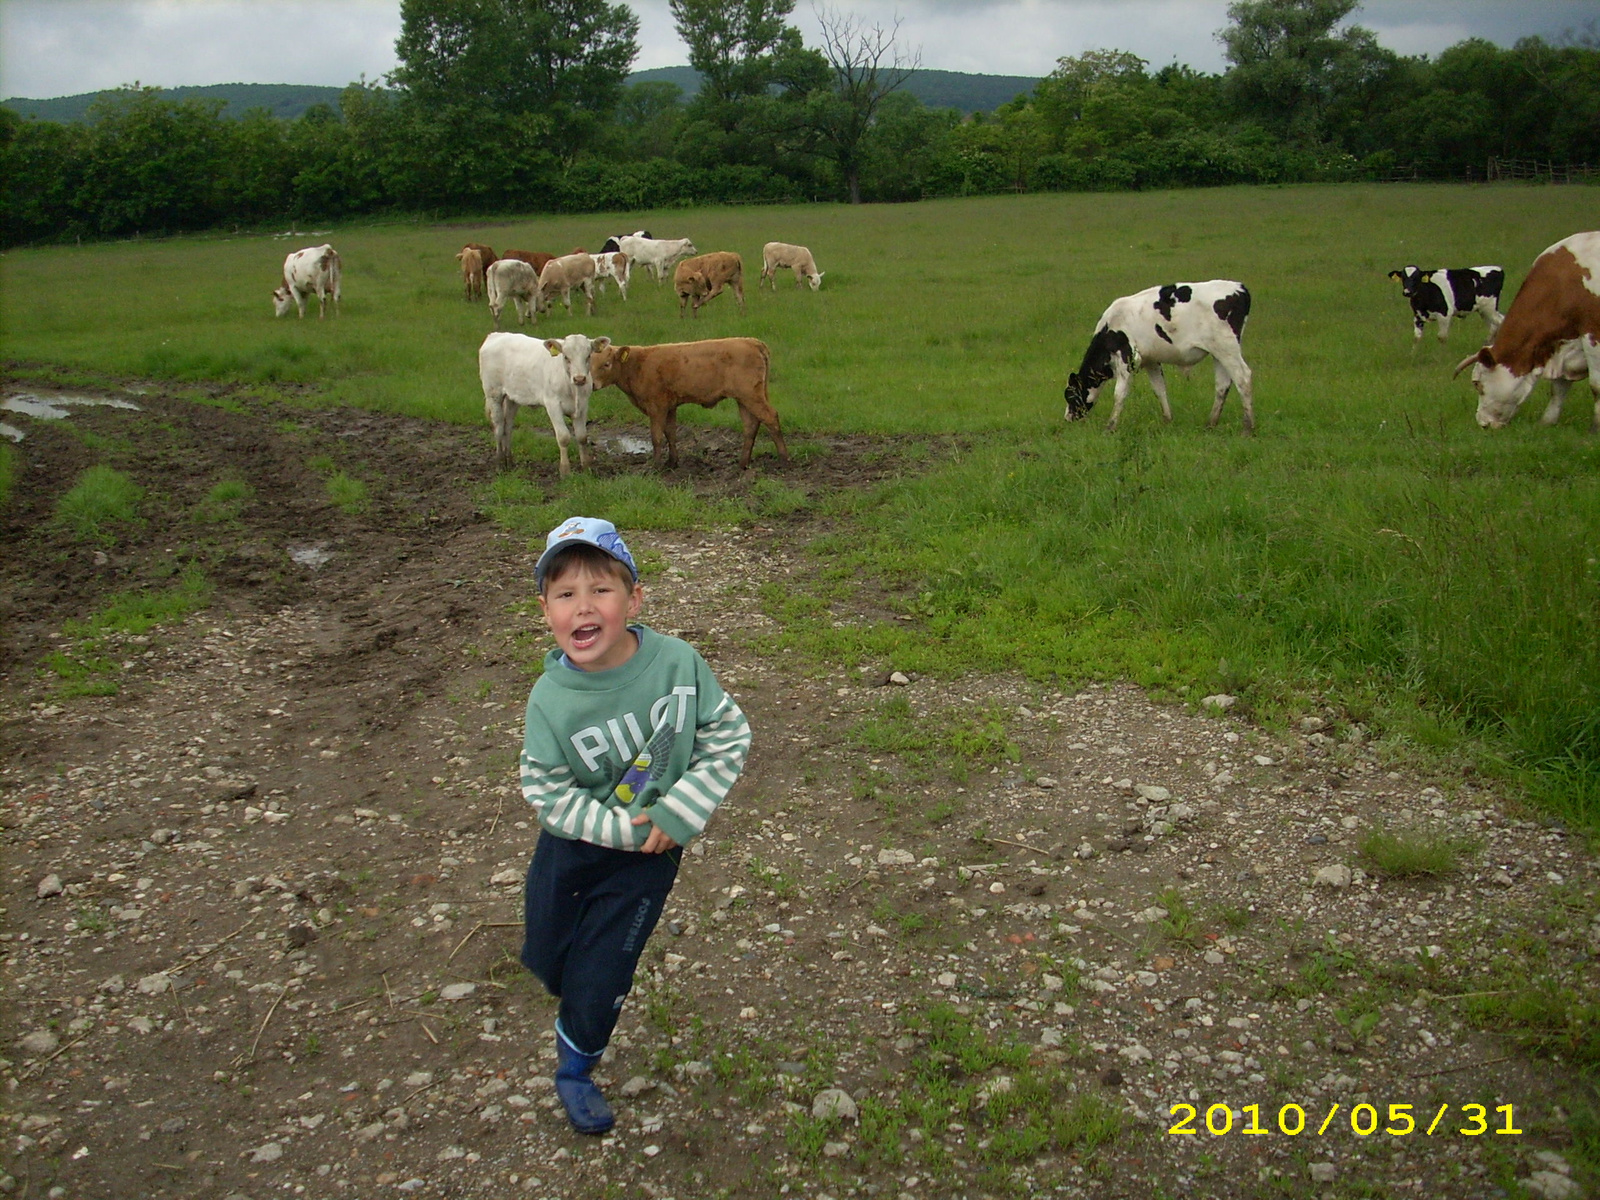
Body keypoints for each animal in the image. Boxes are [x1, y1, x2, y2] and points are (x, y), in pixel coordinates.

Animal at [476, 334, 608, 480]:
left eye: (588, 356)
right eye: (566, 357)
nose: (579, 379)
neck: (573, 390)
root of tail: (495, 335)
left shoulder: (583, 405)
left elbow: (582, 437)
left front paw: (586, 468)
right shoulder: (553, 405)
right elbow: (563, 437)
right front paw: (565, 471)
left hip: (512, 398)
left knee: (508, 426)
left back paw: (509, 462)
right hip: (493, 394)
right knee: (498, 427)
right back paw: (499, 464)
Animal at [588, 340, 787, 473]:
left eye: (606, 364)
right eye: (588, 364)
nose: (592, 385)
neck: (638, 365)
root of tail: (751, 341)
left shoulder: (656, 406)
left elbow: (656, 437)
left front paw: (655, 466)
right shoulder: (669, 406)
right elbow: (671, 433)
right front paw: (672, 462)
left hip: (750, 395)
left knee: (771, 417)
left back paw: (784, 460)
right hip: (745, 398)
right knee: (750, 425)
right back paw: (743, 464)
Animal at [1068, 280, 1254, 435]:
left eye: (1069, 396)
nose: (1068, 418)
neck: (1109, 328)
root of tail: (1239, 287)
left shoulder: (1127, 358)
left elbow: (1119, 393)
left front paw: (1110, 426)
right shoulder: (1151, 360)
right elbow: (1159, 389)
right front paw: (1167, 420)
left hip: (1226, 348)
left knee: (1242, 378)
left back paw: (1248, 428)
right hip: (1219, 353)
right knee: (1222, 384)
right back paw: (1211, 424)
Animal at [1459, 230, 1600, 432]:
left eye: (1477, 383)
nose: (1483, 423)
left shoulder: (1592, 335)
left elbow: (1596, 385)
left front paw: (1596, 427)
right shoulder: (1564, 344)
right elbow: (1558, 388)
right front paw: (1547, 421)